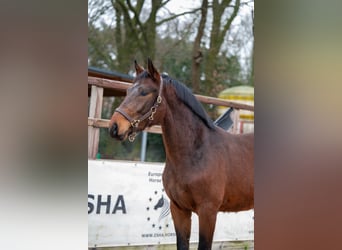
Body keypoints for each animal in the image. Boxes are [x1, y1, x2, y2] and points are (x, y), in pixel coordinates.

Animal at [109, 59, 254, 250]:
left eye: (144, 92)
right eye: (126, 91)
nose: (114, 127)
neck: (195, 153)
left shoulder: (208, 211)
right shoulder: (179, 210)